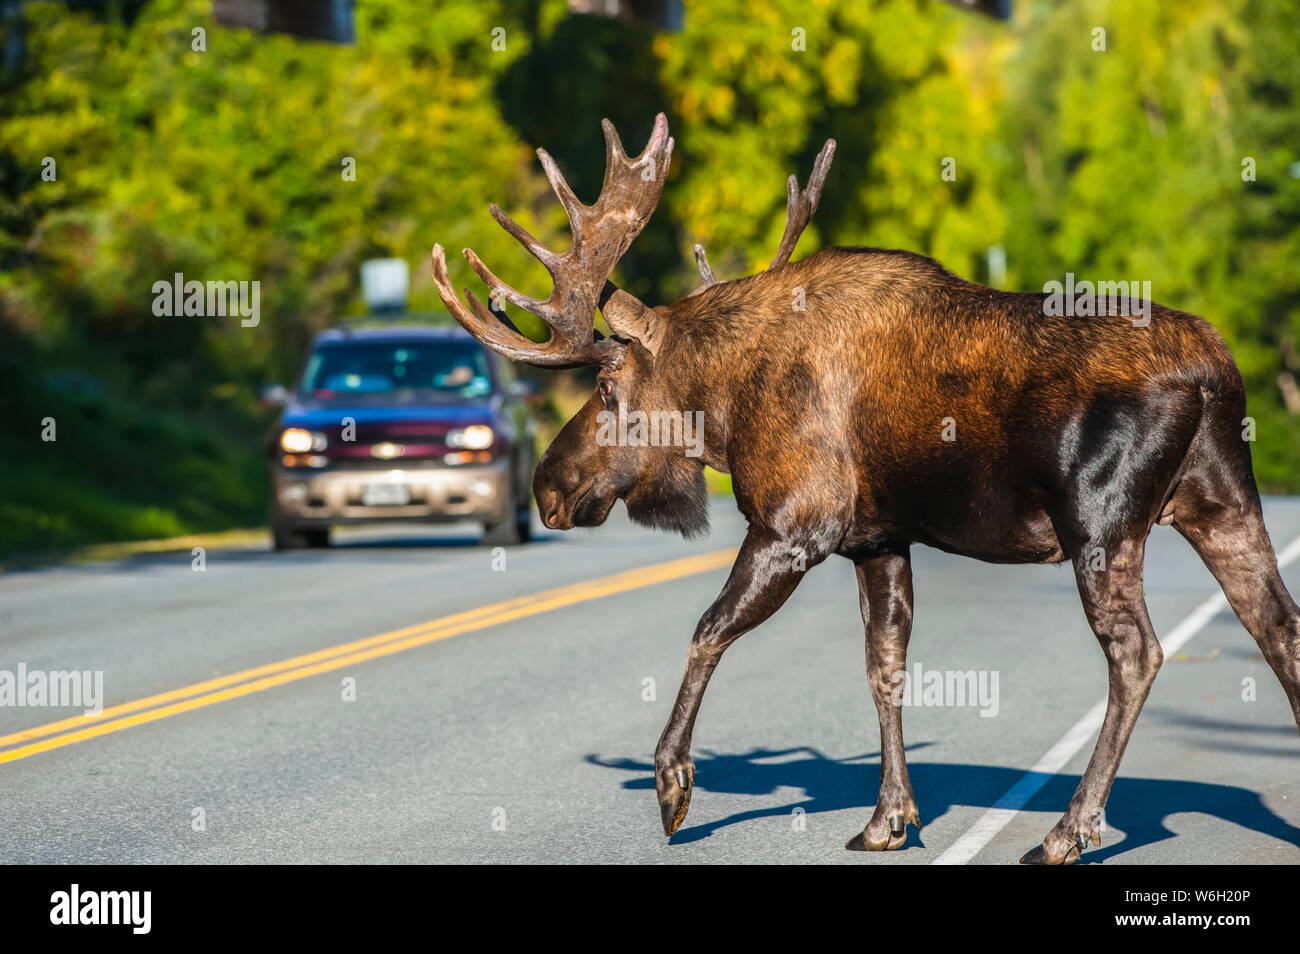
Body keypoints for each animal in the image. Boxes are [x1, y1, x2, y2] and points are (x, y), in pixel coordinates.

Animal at [428, 113, 1300, 868]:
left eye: (608, 387)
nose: (546, 485)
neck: (727, 404)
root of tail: (1213, 372)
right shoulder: (877, 540)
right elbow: (885, 666)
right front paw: (888, 819)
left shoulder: (793, 525)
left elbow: (707, 631)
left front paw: (673, 787)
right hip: (1224, 504)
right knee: (1279, 629)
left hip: (1102, 523)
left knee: (1137, 653)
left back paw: (1066, 831)